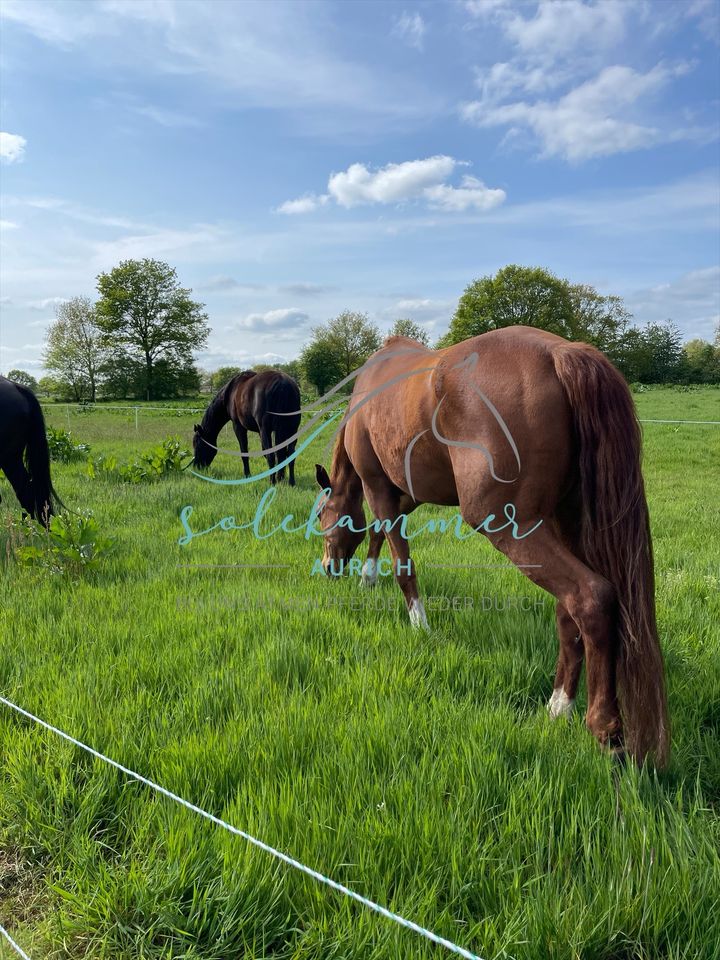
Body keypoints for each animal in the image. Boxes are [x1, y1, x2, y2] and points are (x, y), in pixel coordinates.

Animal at [316, 328, 668, 764]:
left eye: (320, 516)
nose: (327, 567)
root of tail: (561, 353)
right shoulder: (406, 493)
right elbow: (381, 533)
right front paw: (369, 579)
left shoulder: (378, 485)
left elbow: (401, 561)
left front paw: (417, 622)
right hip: (562, 521)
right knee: (568, 608)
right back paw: (557, 708)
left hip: (509, 526)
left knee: (590, 597)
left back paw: (604, 729)